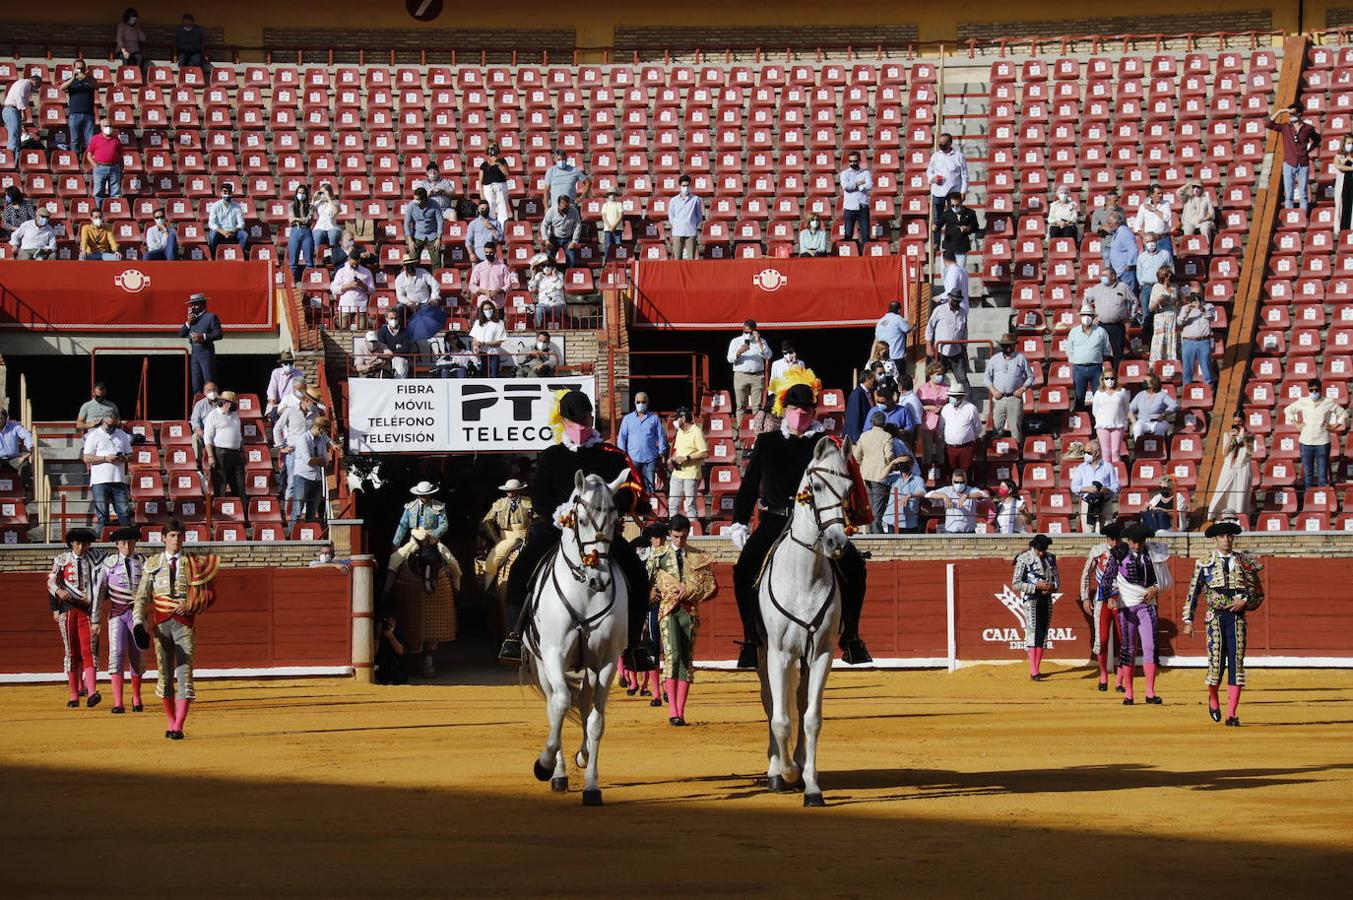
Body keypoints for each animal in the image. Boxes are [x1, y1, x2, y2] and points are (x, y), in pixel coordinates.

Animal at [516, 465, 627, 801]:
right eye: (581, 520)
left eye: (616, 519)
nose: (598, 578)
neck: (585, 592)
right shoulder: (553, 655)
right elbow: (562, 705)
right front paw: (544, 765)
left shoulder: (607, 661)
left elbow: (596, 721)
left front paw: (591, 785)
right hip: (542, 665)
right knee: (557, 705)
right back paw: (558, 774)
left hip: (587, 667)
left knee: (585, 704)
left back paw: (582, 756)